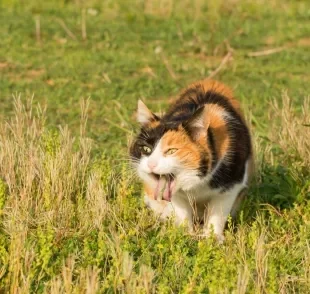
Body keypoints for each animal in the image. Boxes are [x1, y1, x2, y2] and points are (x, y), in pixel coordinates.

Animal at [130, 78, 253, 241]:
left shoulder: (231, 187)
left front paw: (212, 239)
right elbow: (183, 214)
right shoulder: (175, 196)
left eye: (172, 151)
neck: (197, 184)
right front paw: (184, 235)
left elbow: (217, 215)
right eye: (146, 149)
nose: (151, 164)